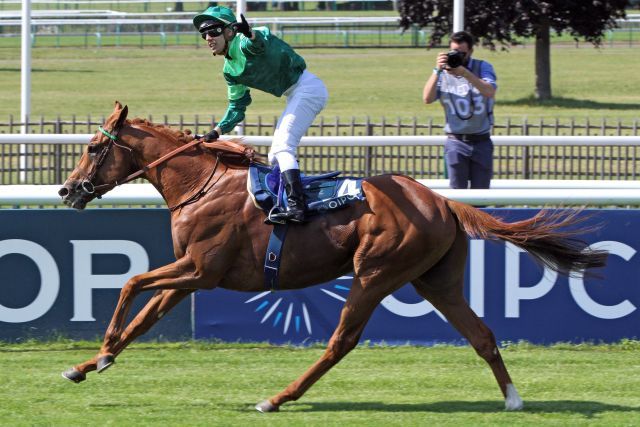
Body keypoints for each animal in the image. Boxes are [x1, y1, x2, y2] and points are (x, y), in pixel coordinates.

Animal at [58, 102, 604, 412]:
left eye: (93, 147)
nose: (67, 189)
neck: (200, 183)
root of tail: (442, 200)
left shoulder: (200, 269)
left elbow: (130, 283)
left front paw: (101, 350)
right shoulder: (187, 276)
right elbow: (144, 317)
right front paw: (87, 364)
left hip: (376, 272)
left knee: (341, 342)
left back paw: (277, 398)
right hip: (436, 280)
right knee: (481, 334)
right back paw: (513, 399)